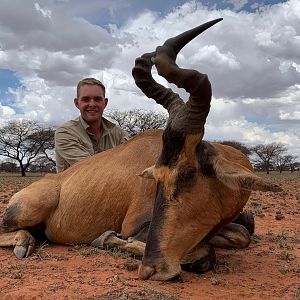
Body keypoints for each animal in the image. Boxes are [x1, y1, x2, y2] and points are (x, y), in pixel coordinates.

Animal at [0, 18, 282, 282]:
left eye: (188, 172)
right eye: (157, 178)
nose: (151, 268)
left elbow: (243, 234)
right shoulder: (135, 226)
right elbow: (203, 255)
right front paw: (106, 240)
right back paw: (24, 243)